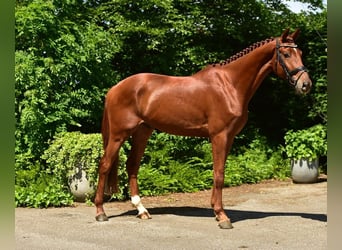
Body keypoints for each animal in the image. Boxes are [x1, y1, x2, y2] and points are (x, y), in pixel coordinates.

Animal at [95, 28, 312, 229]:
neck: (230, 85)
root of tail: (114, 89)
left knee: (132, 166)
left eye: (300, 52)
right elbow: (219, 174)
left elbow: (219, 172)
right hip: (118, 135)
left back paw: (142, 210)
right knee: (105, 164)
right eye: (286, 54)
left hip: (143, 131)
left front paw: (217, 210)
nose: (305, 84)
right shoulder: (219, 136)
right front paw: (222, 216)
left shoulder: (229, 137)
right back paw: (100, 212)